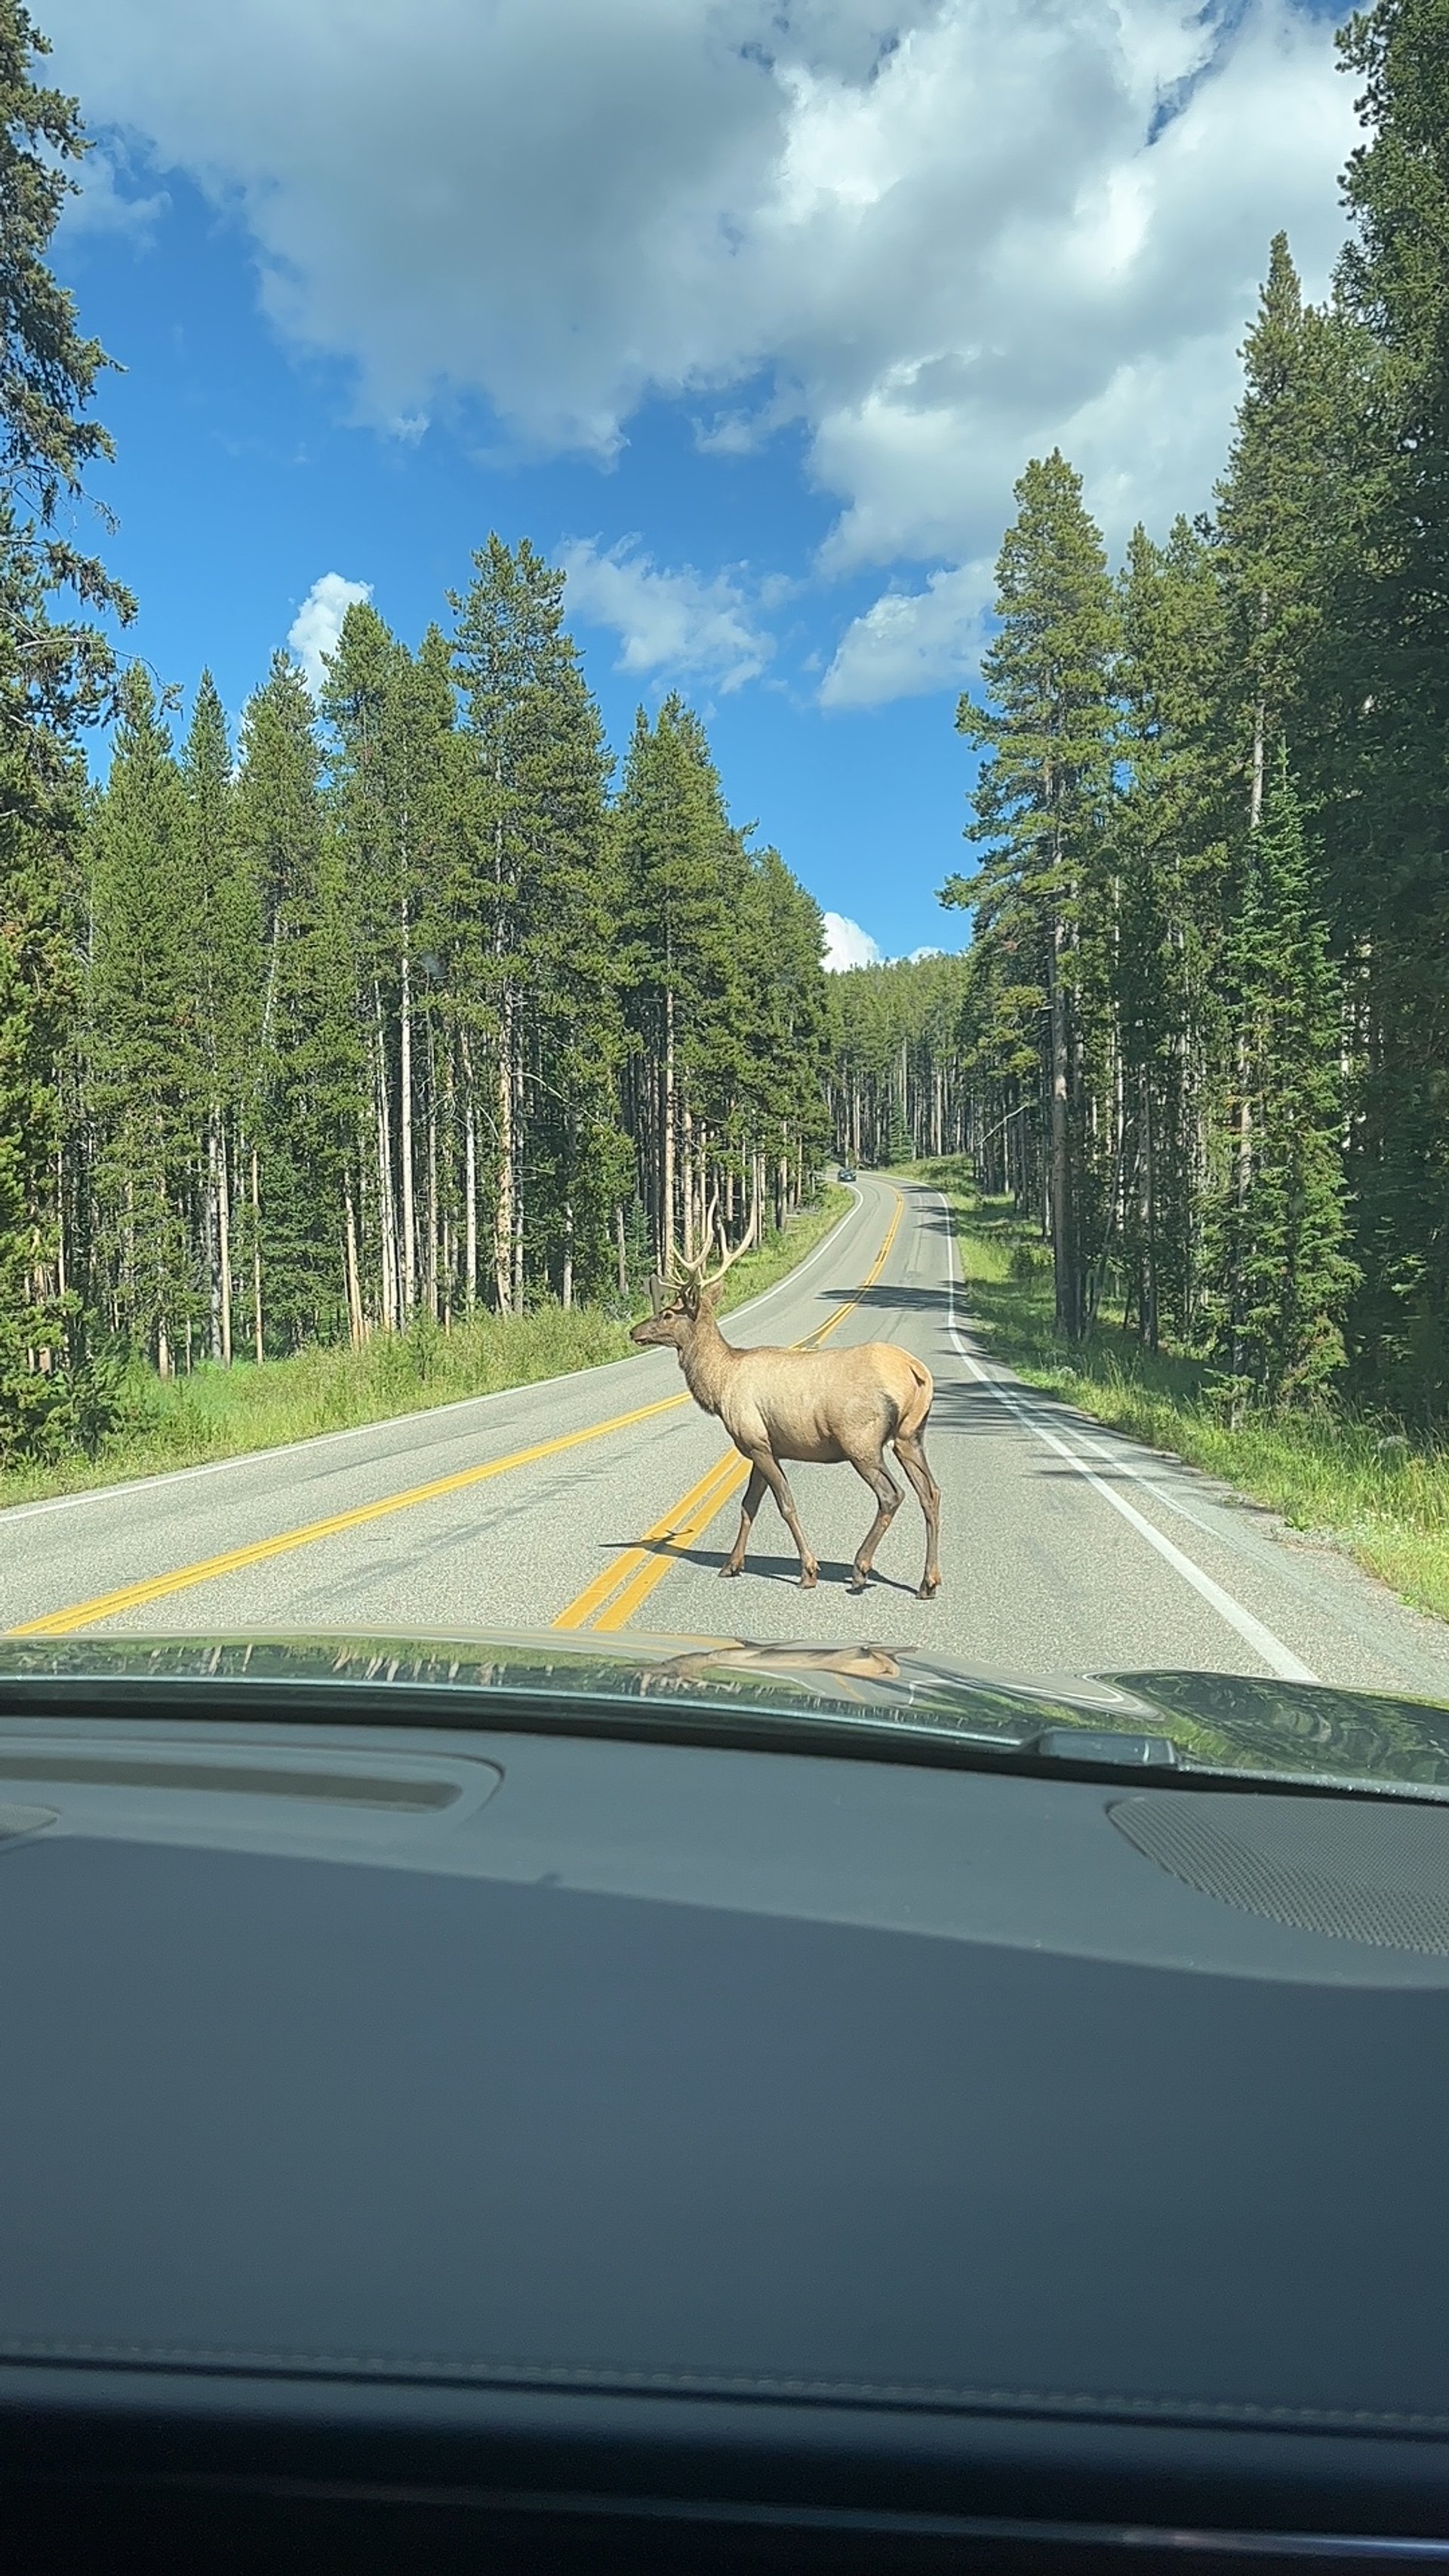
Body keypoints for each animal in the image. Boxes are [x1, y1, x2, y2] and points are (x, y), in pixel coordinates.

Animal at [630, 1214, 942, 1599]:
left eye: (669, 1314)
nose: (633, 1331)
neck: (720, 1385)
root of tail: (917, 1372)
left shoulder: (755, 1441)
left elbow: (785, 1505)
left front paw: (808, 1570)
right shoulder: (764, 1446)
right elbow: (748, 1506)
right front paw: (731, 1565)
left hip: (861, 1440)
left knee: (892, 1494)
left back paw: (860, 1569)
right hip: (910, 1435)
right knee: (931, 1492)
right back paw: (928, 1581)